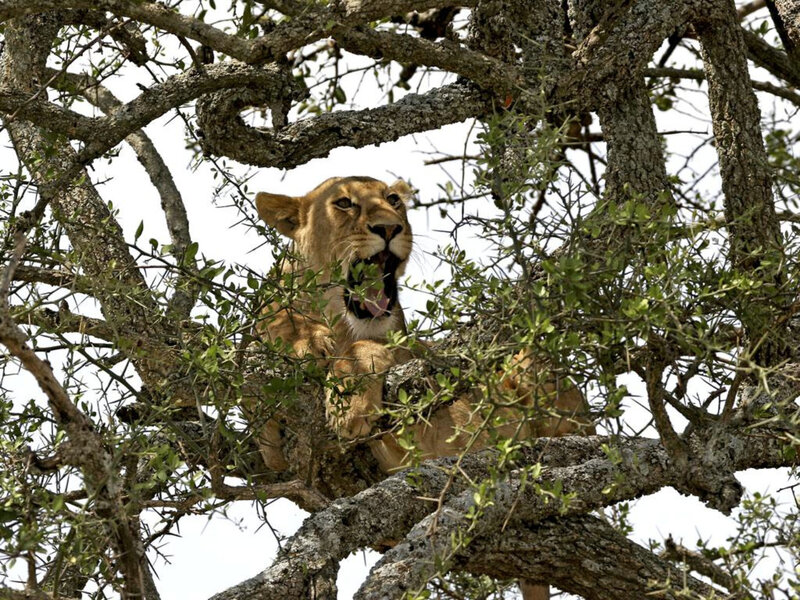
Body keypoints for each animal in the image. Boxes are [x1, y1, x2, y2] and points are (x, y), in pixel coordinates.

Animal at [251, 176, 592, 476]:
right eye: (344, 203)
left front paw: (349, 404)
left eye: (393, 200)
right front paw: (303, 340)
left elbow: (362, 349)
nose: (389, 227)